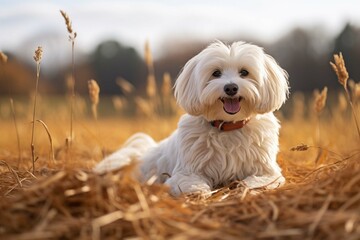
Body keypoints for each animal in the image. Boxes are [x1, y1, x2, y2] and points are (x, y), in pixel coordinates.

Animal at [93, 40, 290, 196]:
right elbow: (188, 182)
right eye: (216, 73)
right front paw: (197, 191)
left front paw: (247, 186)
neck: (228, 126)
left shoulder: (268, 171)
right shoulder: (184, 173)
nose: (231, 88)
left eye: (244, 72)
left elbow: (263, 179)